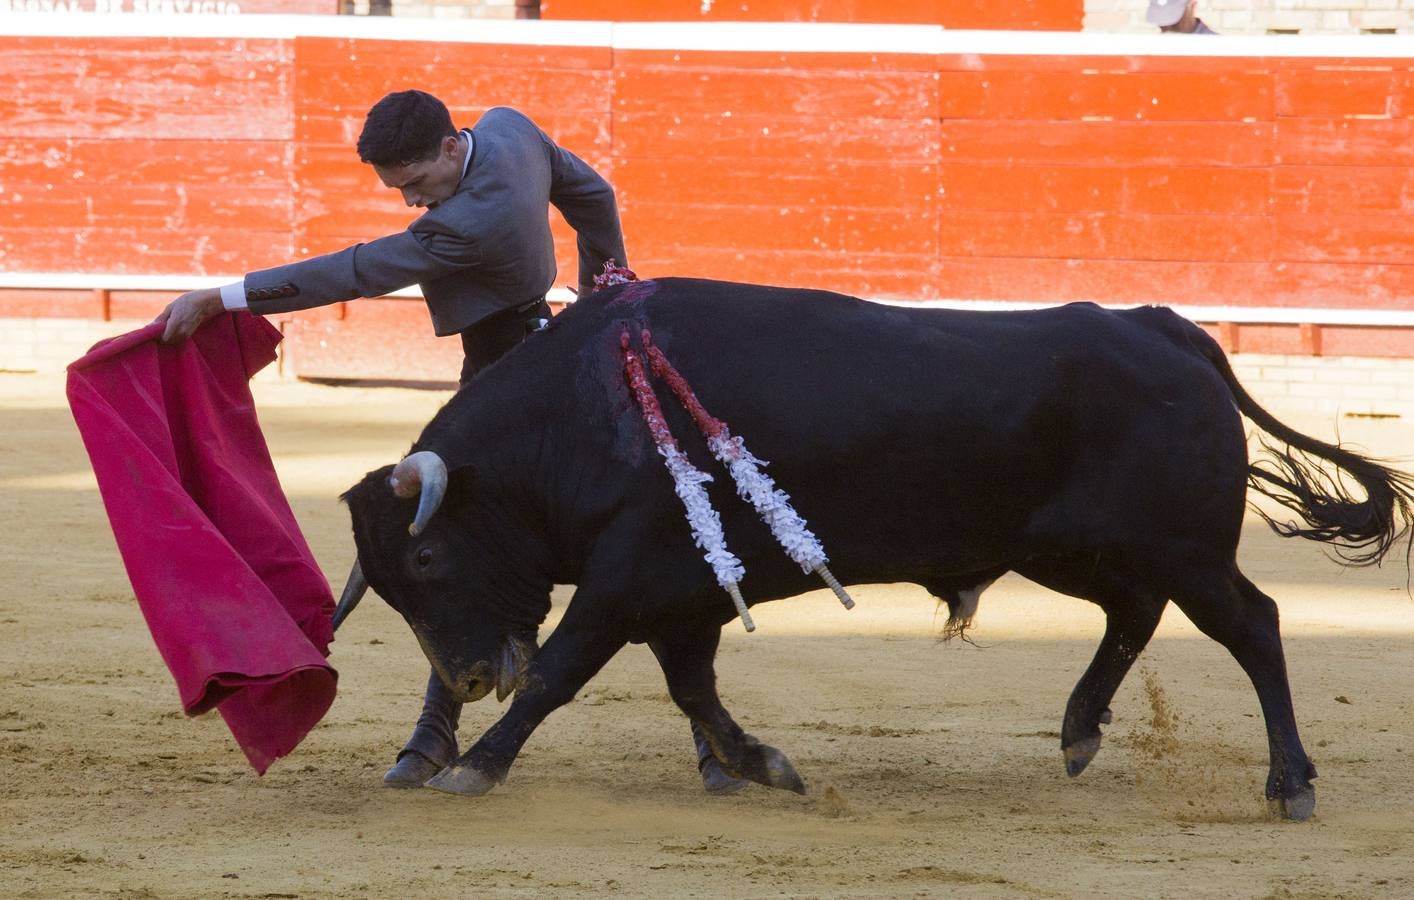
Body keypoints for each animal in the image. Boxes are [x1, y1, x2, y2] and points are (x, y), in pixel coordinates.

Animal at [333, 277, 1414, 820]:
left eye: (425, 562)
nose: (468, 680)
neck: (584, 411)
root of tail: (1169, 329)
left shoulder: (625, 581)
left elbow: (561, 673)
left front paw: (476, 766)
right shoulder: (680, 594)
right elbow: (693, 689)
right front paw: (764, 765)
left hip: (1182, 548)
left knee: (1253, 626)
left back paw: (1289, 786)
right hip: (1080, 548)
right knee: (1134, 614)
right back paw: (1078, 731)